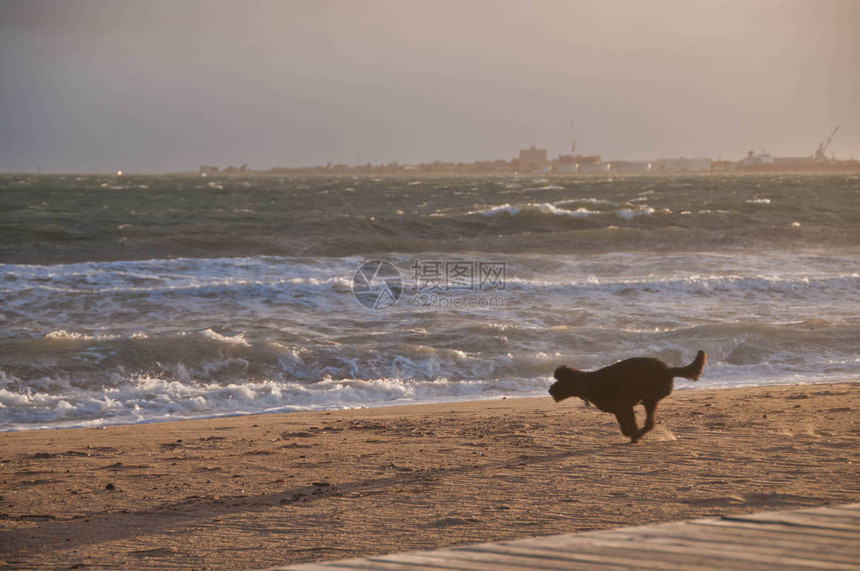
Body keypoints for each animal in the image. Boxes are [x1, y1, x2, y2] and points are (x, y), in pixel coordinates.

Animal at [552, 350, 704, 444]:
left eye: (560, 381)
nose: (550, 390)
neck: (589, 383)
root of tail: (669, 370)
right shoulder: (619, 409)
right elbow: (623, 425)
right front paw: (629, 434)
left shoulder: (626, 406)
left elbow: (631, 424)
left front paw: (634, 436)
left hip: (650, 399)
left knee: (650, 423)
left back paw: (639, 435)